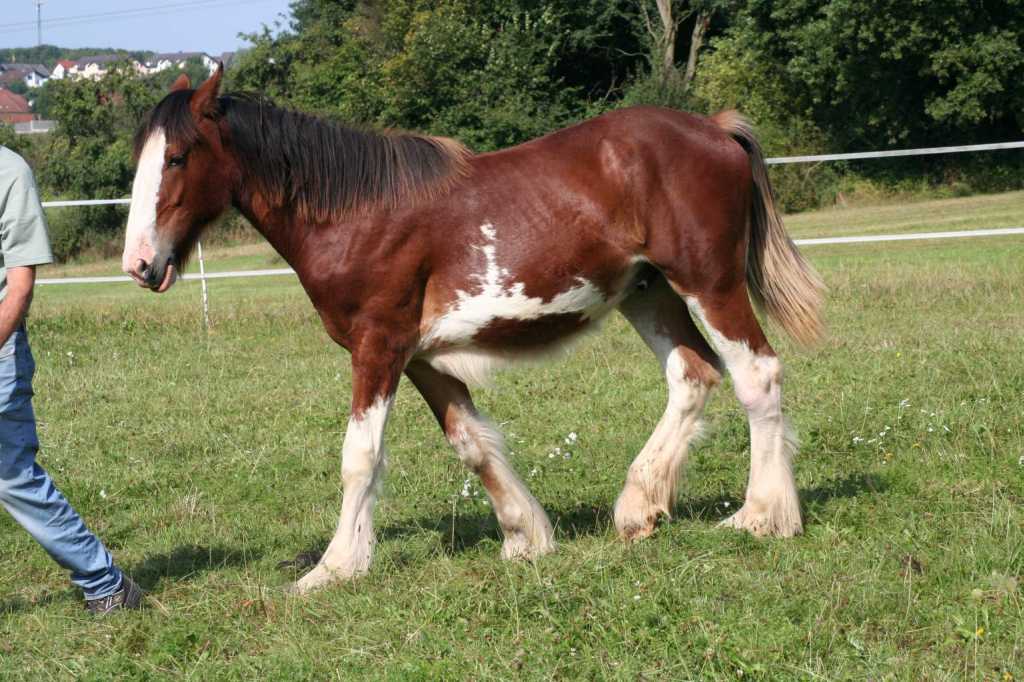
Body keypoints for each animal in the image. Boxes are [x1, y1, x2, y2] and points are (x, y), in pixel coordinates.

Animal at [123, 66, 823, 594]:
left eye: (179, 157)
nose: (139, 264)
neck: (355, 213)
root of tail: (715, 129)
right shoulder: (418, 357)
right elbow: (471, 441)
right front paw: (526, 537)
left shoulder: (378, 348)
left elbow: (360, 458)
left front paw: (335, 567)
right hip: (647, 291)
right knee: (692, 374)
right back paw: (638, 507)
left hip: (709, 282)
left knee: (756, 374)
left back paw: (763, 515)